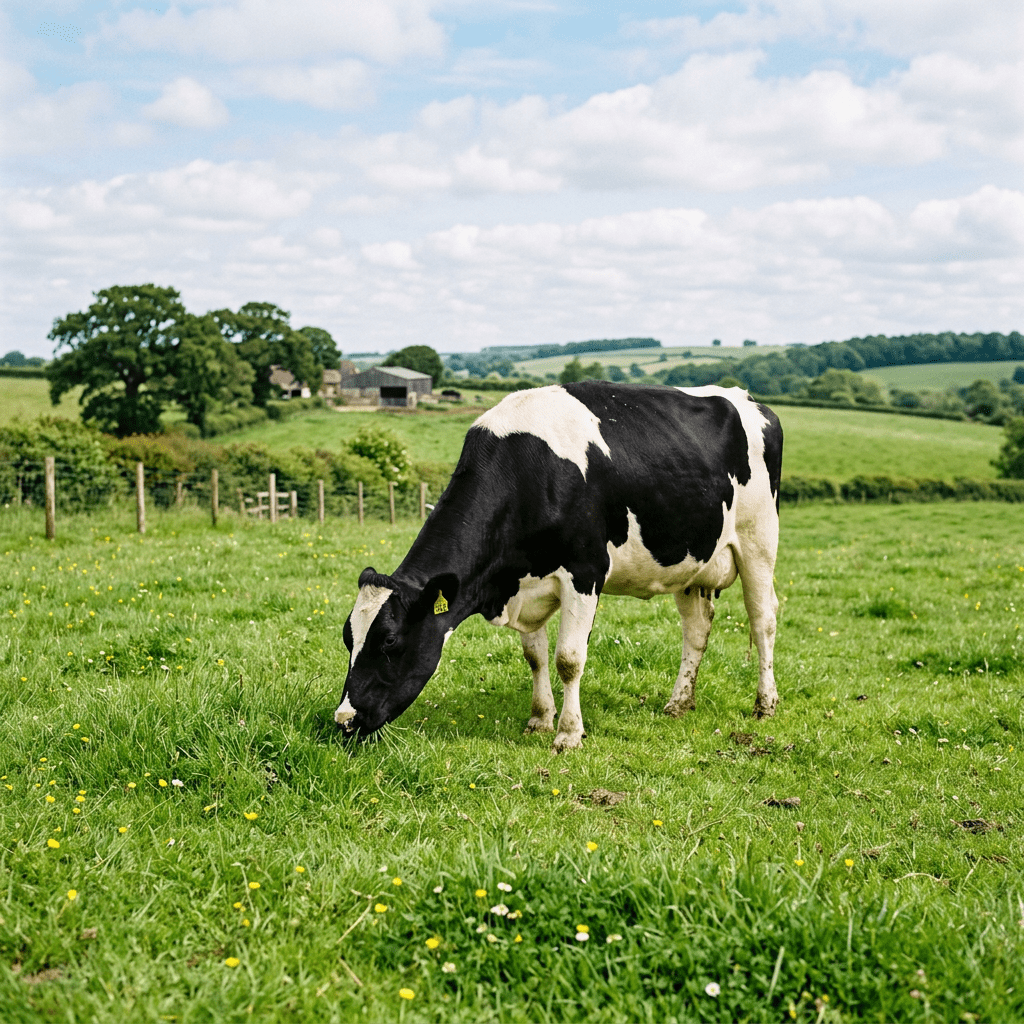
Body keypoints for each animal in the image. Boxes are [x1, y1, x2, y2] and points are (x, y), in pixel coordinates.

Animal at [334, 381, 783, 753]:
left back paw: (765, 704)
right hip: (692, 564)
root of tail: (747, 398)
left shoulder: (584, 572)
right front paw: (539, 719)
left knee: (763, 619)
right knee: (697, 628)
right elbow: (535, 656)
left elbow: (569, 658)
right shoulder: (525, 583)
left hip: (759, 541)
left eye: (390, 640)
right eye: (347, 639)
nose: (343, 721)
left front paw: (569, 733)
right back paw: (679, 702)